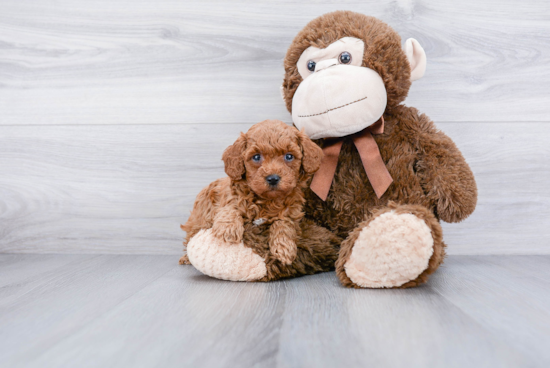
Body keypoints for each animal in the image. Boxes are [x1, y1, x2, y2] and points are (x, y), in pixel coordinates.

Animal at [179, 119, 326, 266]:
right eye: (256, 157)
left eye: (289, 156)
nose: (273, 178)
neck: (267, 200)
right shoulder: (228, 196)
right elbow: (230, 208)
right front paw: (228, 230)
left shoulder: (292, 213)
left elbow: (284, 223)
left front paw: (284, 248)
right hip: (199, 219)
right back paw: (186, 257)